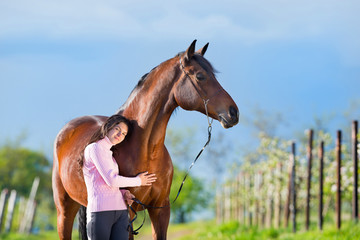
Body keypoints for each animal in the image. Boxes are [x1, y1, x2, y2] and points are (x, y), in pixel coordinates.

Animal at [52, 40, 239, 239]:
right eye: (200, 76)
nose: (233, 112)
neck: (146, 149)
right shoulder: (128, 212)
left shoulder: (161, 209)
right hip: (64, 211)